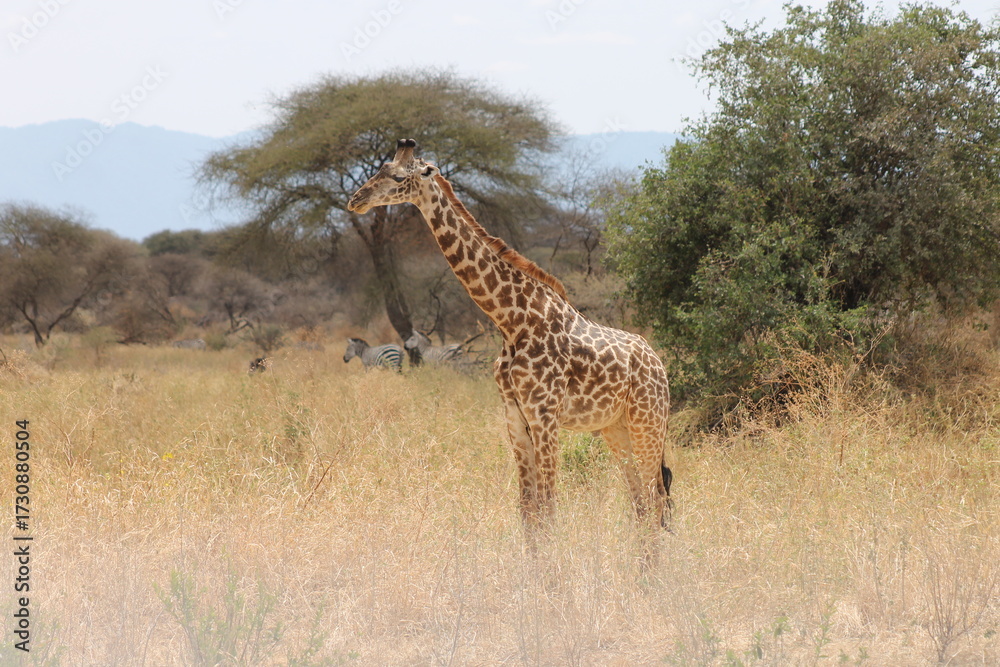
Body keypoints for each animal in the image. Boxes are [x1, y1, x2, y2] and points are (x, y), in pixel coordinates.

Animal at [348, 139, 673, 531]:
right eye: (378, 170)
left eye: (397, 177)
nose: (356, 200)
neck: (512, 322)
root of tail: (658, 363)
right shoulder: (514, 416)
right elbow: (528, 510)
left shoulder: (544, 415)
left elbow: (548, 508)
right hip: (615, 426)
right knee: (641, 503)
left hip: (648, 421)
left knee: (657, 499)